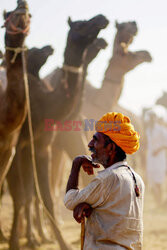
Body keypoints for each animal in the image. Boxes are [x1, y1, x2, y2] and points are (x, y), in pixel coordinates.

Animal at [6, 14, 108, 250]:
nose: (102, 18)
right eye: (79, 25)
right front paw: (16, 240)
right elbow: (21, 195)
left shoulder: (40, 146)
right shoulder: (17, 144)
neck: (45, 105)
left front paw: (57, 241)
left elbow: (42, 196)